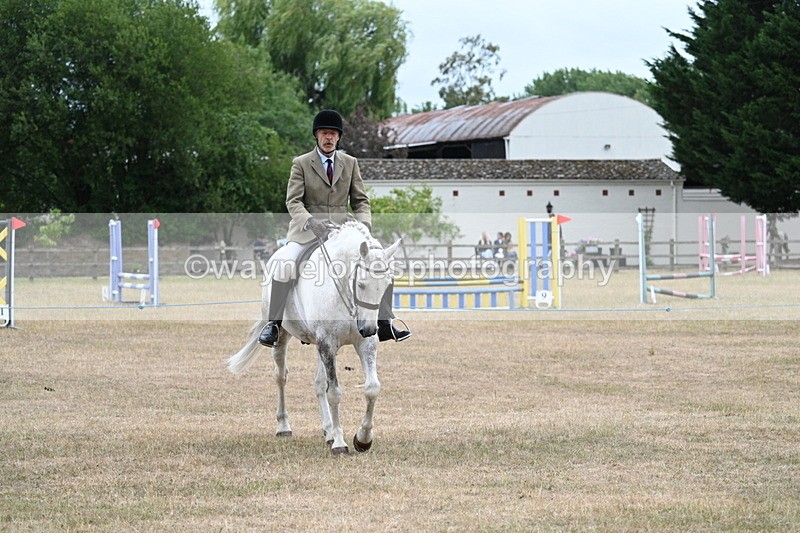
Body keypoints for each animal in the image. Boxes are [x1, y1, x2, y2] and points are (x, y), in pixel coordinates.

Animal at [227, 221, 400, 456]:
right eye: (361, 284)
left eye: (387, 285)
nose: (368, 328)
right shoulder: (327, 342)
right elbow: (334, 392)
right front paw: (340, 443)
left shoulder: (362, 343)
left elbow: (372, 388)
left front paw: (363, 439)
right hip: (285, 336)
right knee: (281, 377)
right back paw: (284, 427)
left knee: (319, 384)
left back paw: (328, 431)